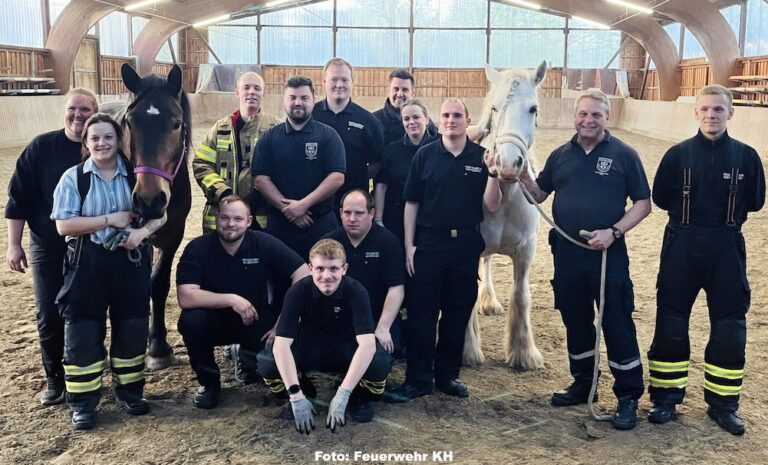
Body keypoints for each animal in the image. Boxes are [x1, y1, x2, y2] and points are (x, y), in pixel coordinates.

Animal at [103, 64, 192, 370]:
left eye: (176, 123)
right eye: (130, 123)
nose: (149, 200)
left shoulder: (173, 234)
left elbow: (158, 284)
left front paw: (158, 346)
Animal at [464, 60, 548, 370]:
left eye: (533, 109)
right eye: (494, 107)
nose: (509, 164)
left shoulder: (526, 251)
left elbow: (521, 296)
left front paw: (523, 353)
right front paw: (468, 351)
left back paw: (489, 301)